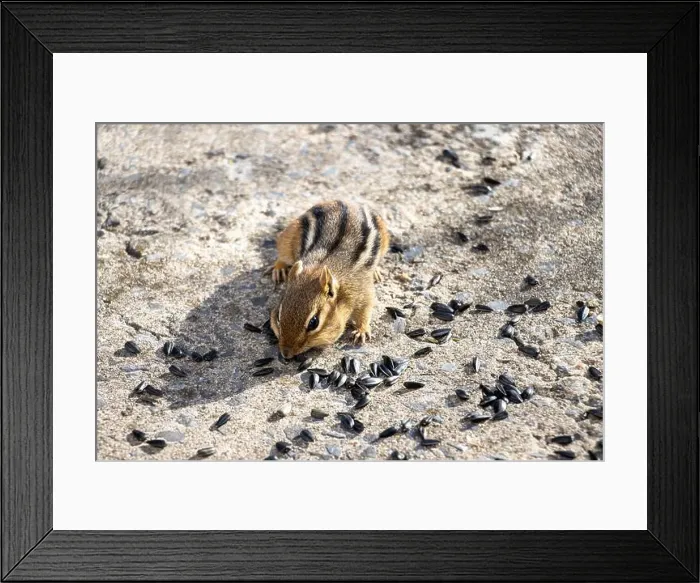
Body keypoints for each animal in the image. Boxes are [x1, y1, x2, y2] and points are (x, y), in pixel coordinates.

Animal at [269, 200, 389, 359]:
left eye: (313, 322)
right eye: (278, 316)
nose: (286, 354)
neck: (317, 270)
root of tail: (345, 202)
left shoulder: (363, 291)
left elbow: (366, 310)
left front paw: (362, 331)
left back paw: (376, 271)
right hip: (288, 236)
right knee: (282, 254)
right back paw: (279, 268)